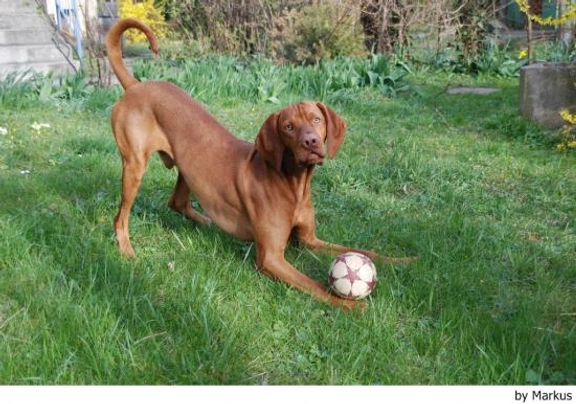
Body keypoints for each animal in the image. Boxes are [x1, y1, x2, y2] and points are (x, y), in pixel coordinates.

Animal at [106, 18, 408, 310]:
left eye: (316, 119)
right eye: (288, 127)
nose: (310, 141)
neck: (293, 184)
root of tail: (136, 85)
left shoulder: (310, 241)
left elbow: (367, 252)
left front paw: (403, 262)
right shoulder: (271, 258)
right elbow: (316, 286)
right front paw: (353, 306)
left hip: (187, 168)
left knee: (177, 202)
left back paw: (207, 222)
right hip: (134, 166)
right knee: (120, 217)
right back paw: (126, 250)